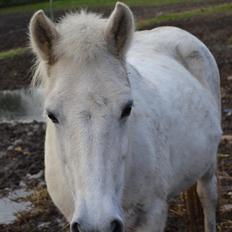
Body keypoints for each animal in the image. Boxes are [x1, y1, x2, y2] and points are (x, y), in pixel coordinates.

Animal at [29, 2, 222, 232]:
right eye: (52, 115)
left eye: (127, 108)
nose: (97, 225)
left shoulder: (153, 215)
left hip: (209, 165)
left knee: (207, 196)